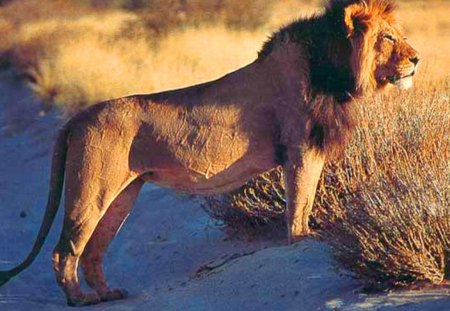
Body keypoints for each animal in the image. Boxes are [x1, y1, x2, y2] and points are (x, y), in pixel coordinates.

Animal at [0, 0, 418, 308]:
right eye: (387, 37)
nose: (417, 59)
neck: (334, 69)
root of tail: (77, 116)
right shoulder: (301, 147)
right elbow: (301, 199)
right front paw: (303, 238)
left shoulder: (307, 148)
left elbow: (307, 196)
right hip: (92, 187)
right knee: (65, 249)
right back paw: (79, 299)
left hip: (122, 195)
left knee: (92, 251)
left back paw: (106, 294)